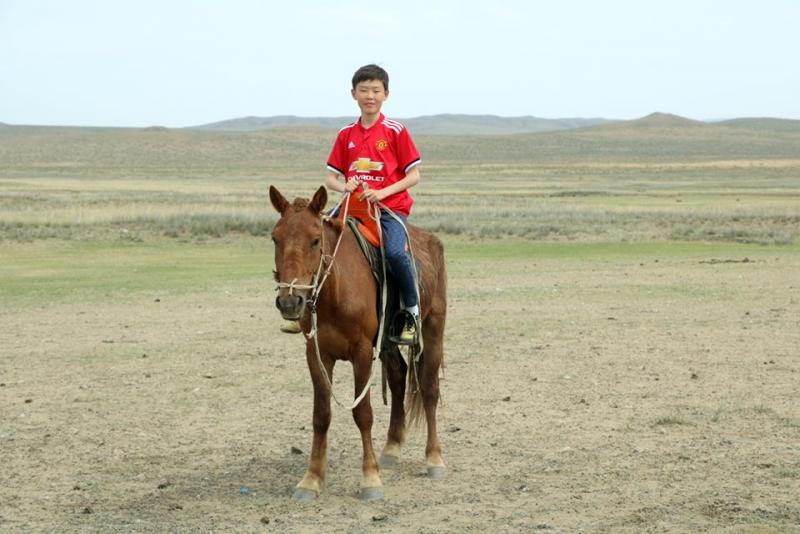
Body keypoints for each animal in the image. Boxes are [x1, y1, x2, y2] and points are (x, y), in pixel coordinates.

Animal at [269, 185, 447, 501]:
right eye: (275, 238)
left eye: (315, 240)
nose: (290, 301)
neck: (336, 289)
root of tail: (432, 241)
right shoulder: (316, 353)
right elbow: (321, 415)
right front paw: (311, 479)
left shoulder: (362, 352)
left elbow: (363, 413)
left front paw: (370, 479)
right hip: (388, 343)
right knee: (399, 378)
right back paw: (391, 447)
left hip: (434, 327)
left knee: (428, 389)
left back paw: (434, 459)